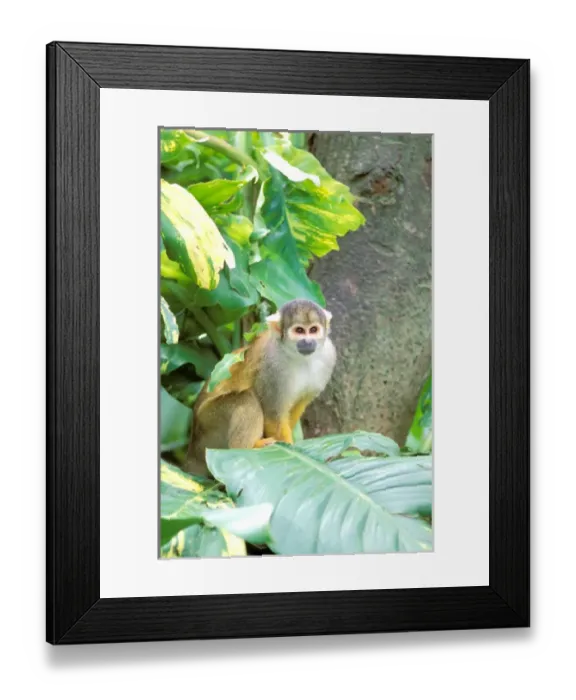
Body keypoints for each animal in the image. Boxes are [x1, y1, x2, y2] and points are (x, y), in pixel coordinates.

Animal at [185, 298, 336, 476]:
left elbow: (296, 407)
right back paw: (248, 448)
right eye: (299, 330)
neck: (299, 357)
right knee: (246, 399)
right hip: (208, 423)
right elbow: (273, 415)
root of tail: (192, 448)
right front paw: (291, 448)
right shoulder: (272, 367)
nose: (308, 341)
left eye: (313, 330)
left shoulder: (329, 356)